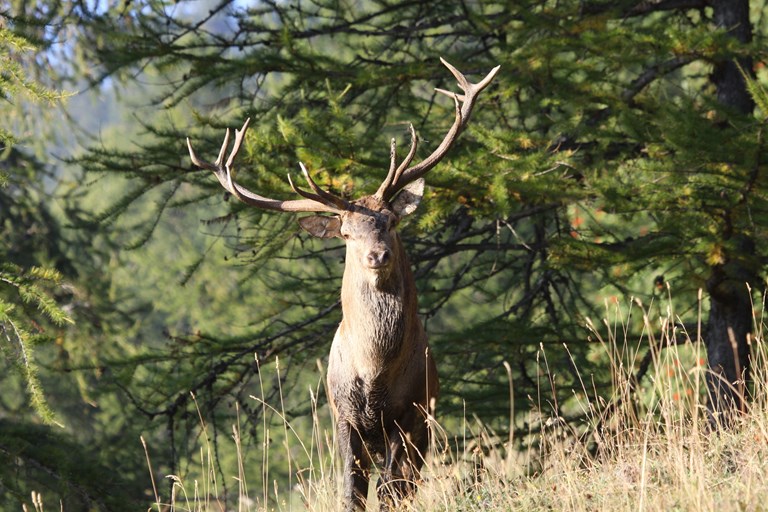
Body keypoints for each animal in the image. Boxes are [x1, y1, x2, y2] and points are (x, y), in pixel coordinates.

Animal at [186, 58, 499, 511]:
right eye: (347, 233)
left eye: (391, 220)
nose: (377, 256)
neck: (375, 373)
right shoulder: (343, 416)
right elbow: (351, 491)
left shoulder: (408, 415)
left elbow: (389, 490)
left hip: (426, 426)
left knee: (406, 483)